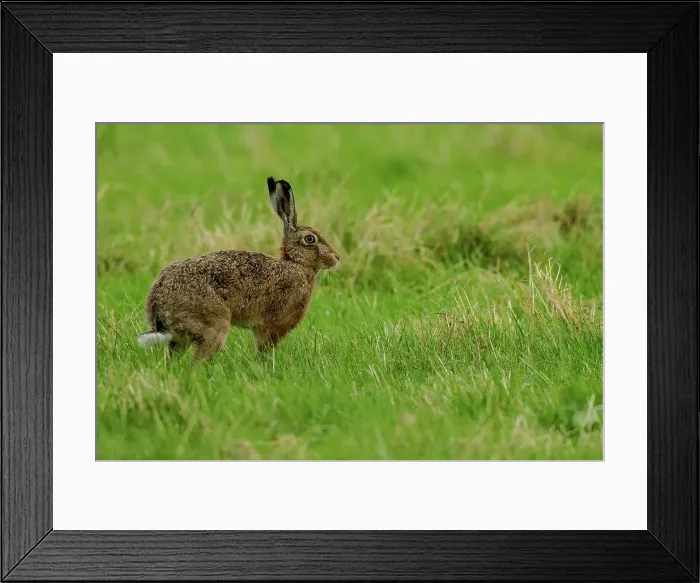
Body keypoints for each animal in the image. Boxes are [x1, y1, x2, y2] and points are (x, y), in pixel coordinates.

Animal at [137, 176, 341, 362]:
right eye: (310, 239)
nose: (337, 257)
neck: (297, 264)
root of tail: (158, 305)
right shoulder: (270, 326)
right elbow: (264, 350)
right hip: (214, 324)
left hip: (181, 337)